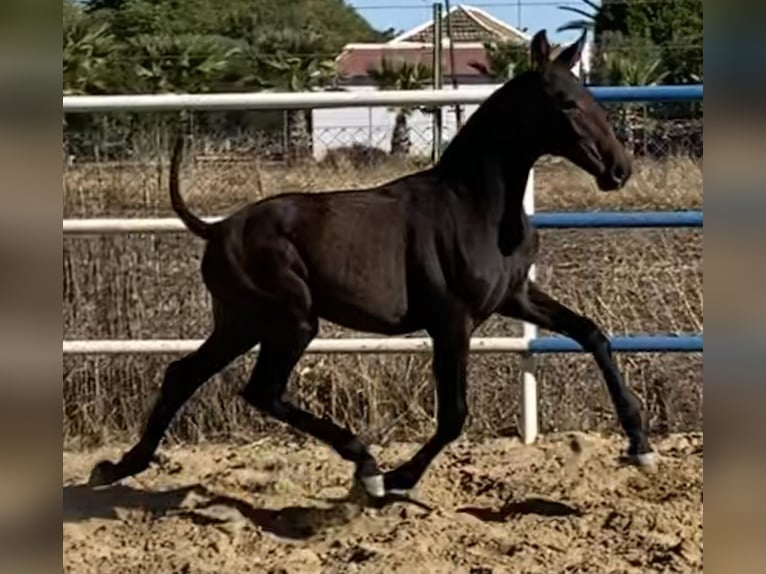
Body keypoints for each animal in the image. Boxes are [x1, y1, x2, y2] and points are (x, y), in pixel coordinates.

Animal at [88, 30, 660, 500]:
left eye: (591, 96)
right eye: (566, 103)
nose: (619, 169)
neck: (473, 204)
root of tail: (216, 227)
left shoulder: (515, 297)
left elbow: (592, 334)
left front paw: (640, 443)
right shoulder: (451, 321)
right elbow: (454, 415)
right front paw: (399, 477)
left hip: (242, 321)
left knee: (184, 374)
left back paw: (117, 467)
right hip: (290, 319)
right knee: (260, 390)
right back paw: (364, 464)